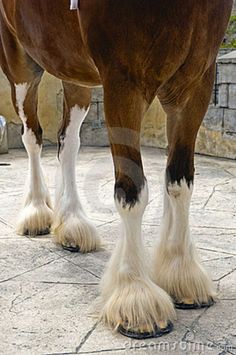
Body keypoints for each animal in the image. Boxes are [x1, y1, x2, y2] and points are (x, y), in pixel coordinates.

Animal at [0, 0, 232, 340]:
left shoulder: (196, 81)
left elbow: (179, 183)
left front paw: (181, 274)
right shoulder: (124, 81)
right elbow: (132, 191)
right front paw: (136, 296)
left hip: (74, 71)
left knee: (68, 142)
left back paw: (71, 224)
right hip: (20, 65)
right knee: (32, 138)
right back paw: (36, 212)